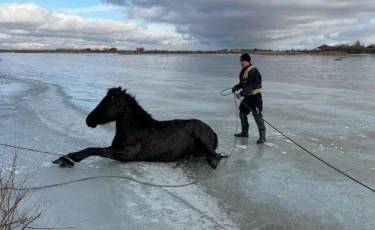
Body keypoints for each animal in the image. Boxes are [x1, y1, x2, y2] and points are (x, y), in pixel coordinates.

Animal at [51, 87, 225, 168]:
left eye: (107, 102)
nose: (89, 120)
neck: (135, 129)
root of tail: (212, 131)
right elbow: (97, 149)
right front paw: (65, 158)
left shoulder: (126, 155)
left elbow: (94, 149)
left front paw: (67, 159)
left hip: (203, 139)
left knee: (216, 156)